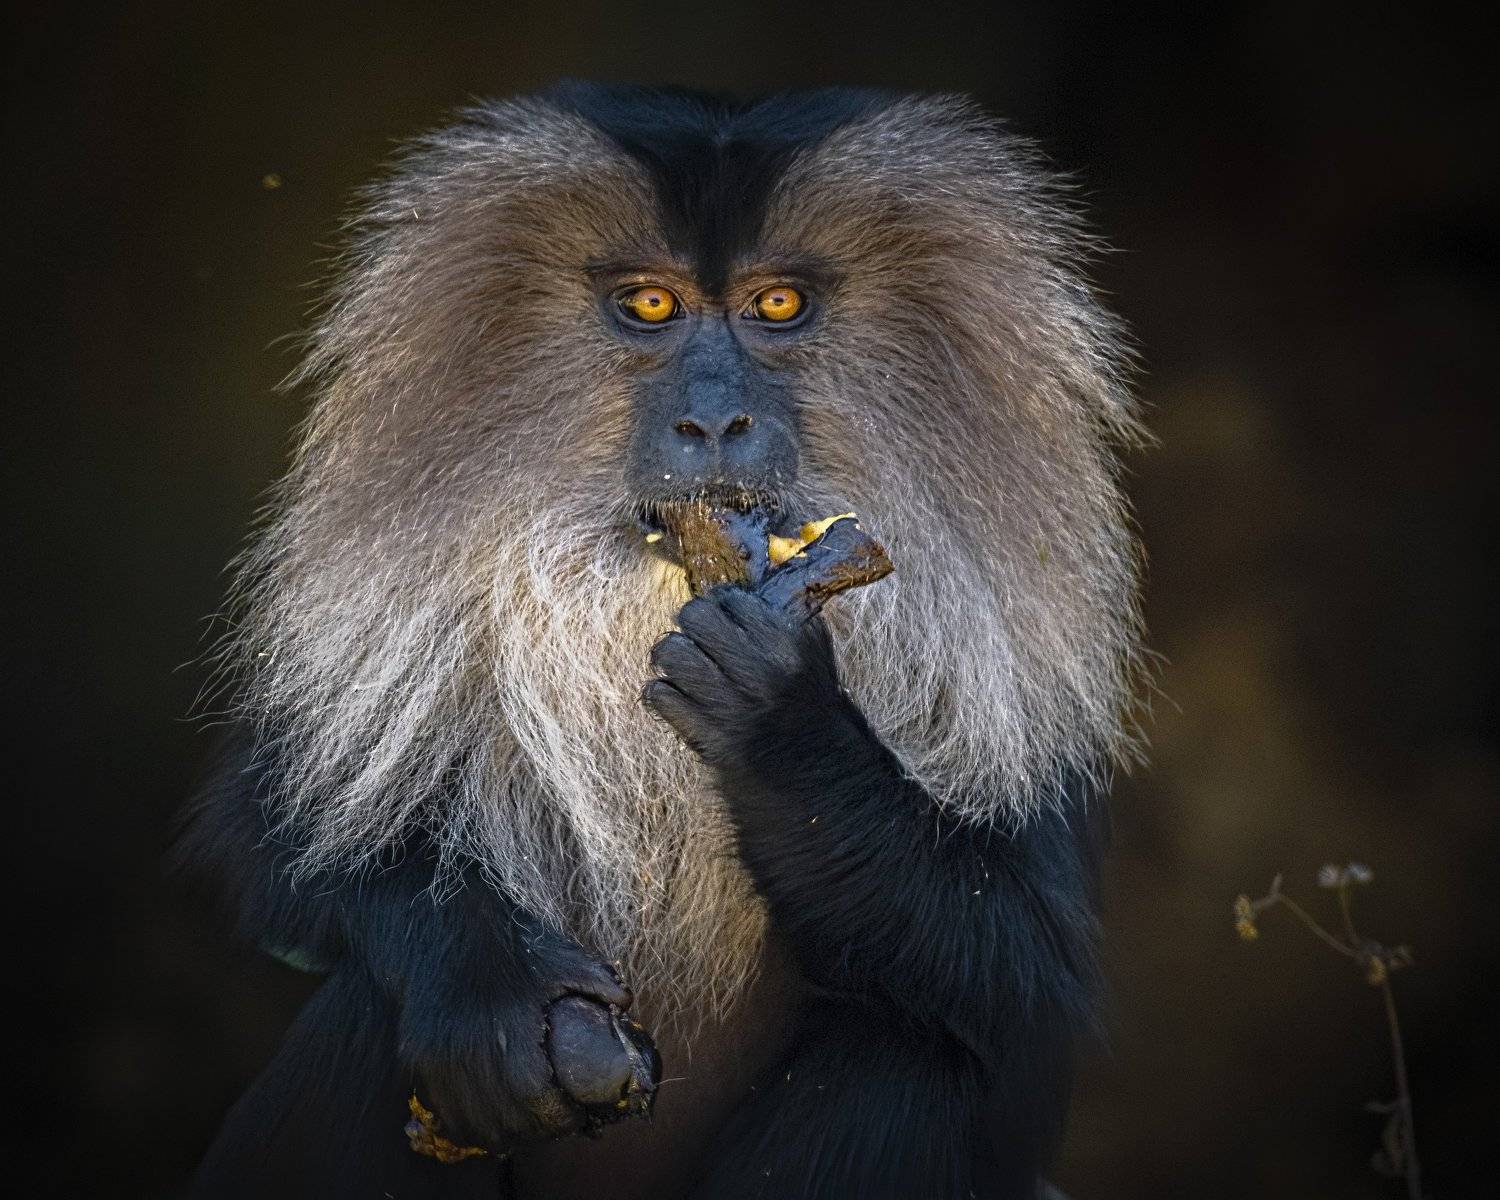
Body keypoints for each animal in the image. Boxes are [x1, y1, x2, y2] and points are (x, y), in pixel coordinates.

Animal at [177, 82, 1144, 1200]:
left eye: (779, 306)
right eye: (649, 306)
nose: (715, 423)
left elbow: (1032, 995)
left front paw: (779, 714)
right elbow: (282, 840)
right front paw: (493, 1003)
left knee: (909, 1054)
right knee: (368, 1017)